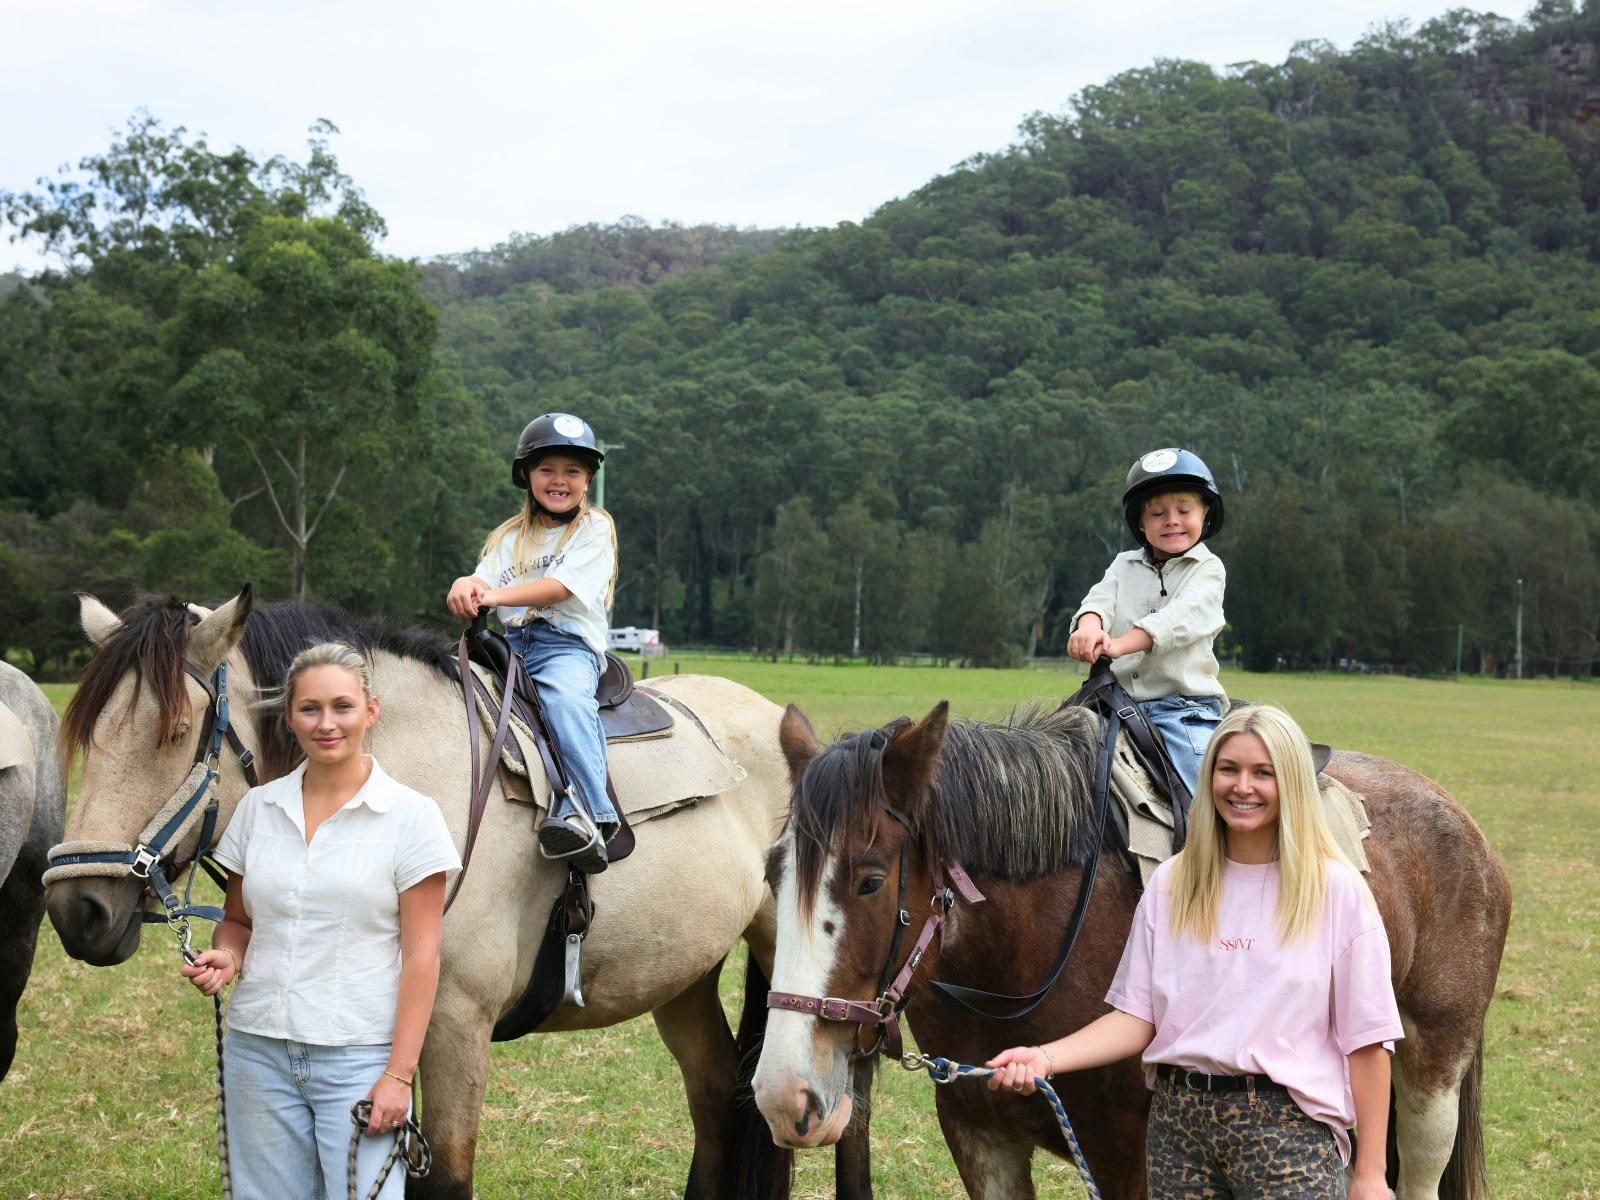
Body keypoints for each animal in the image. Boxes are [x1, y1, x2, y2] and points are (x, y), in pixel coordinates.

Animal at [43, 587, 800, 1200]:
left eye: (173, 732)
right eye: (89, 735)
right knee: (715, 1099)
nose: (76, 910)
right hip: (684, 975)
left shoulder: (455, 1026)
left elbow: (446, 1178)